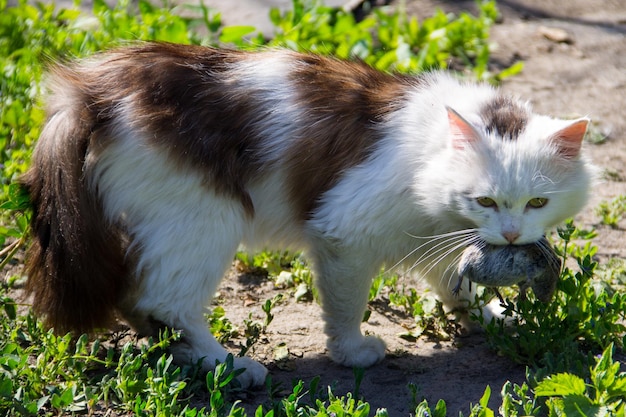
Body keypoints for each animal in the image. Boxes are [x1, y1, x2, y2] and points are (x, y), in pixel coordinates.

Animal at [22, 42, 592, 386]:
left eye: (537, 203)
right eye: (486, 201)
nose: (512, 235)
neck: (427, 154)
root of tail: (90, 91)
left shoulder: (434, 234)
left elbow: (455, 281)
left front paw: (490, 314)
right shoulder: (344, 233)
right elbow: (346, 307)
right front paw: (353, 352)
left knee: (138, 302)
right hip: (206, 220)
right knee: (161, 301)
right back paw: (229, 367)